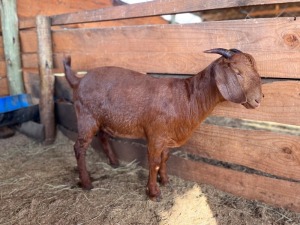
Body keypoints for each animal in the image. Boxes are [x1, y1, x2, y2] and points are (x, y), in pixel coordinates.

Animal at [63, 48, 262, 201]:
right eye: (238, 73)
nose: (258, 100)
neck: (187, 97)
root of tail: (78, 80)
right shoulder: (155, 135)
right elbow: (154, 162)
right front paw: (153, 193)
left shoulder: (168, 136)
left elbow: (165, 158)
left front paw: (165, 181)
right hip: (86, 117)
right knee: (79, 147)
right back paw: (87, 183)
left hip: (102, 119)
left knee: (103, 136)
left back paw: (114, 162)